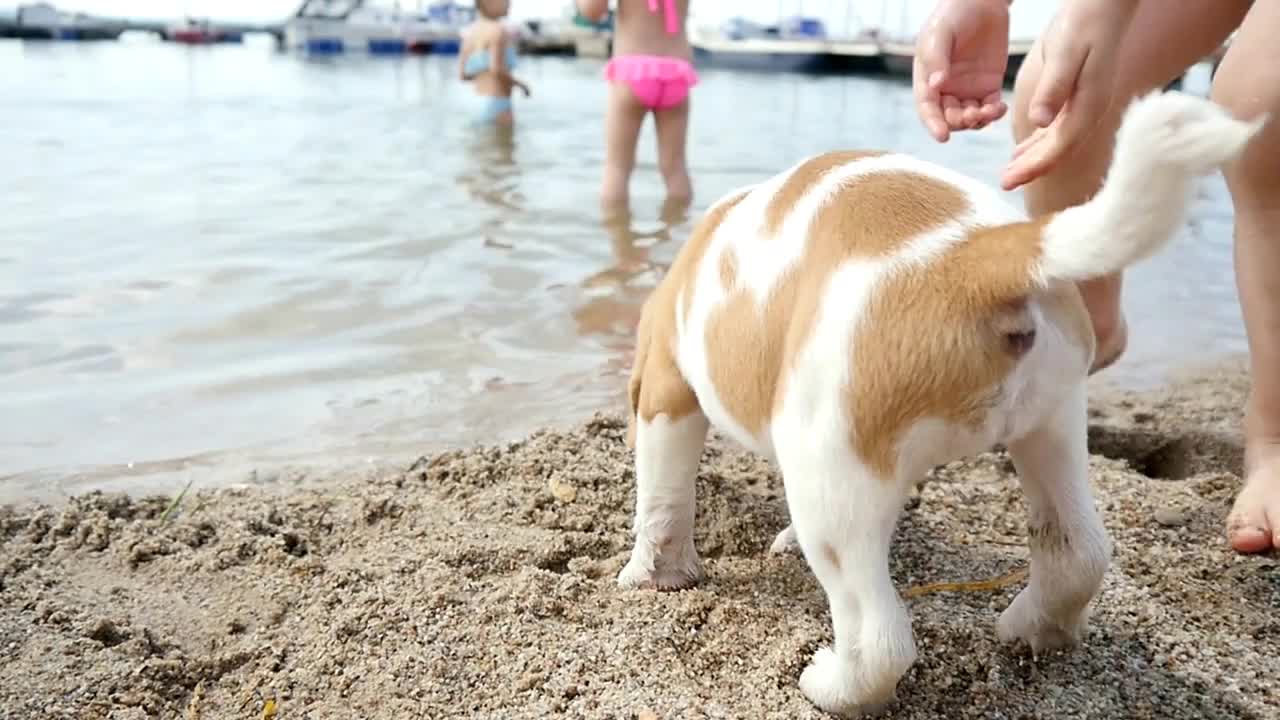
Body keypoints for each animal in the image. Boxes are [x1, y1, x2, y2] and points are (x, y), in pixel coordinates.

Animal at [614, 92, 1264, 712]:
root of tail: (982, 256)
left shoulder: (667, 393)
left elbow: (662, 500)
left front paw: (651, 577)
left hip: (830, 473)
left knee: (878, 640)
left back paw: (833, 686)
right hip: (1052, 427)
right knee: (1076, 554)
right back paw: (1032, 631)